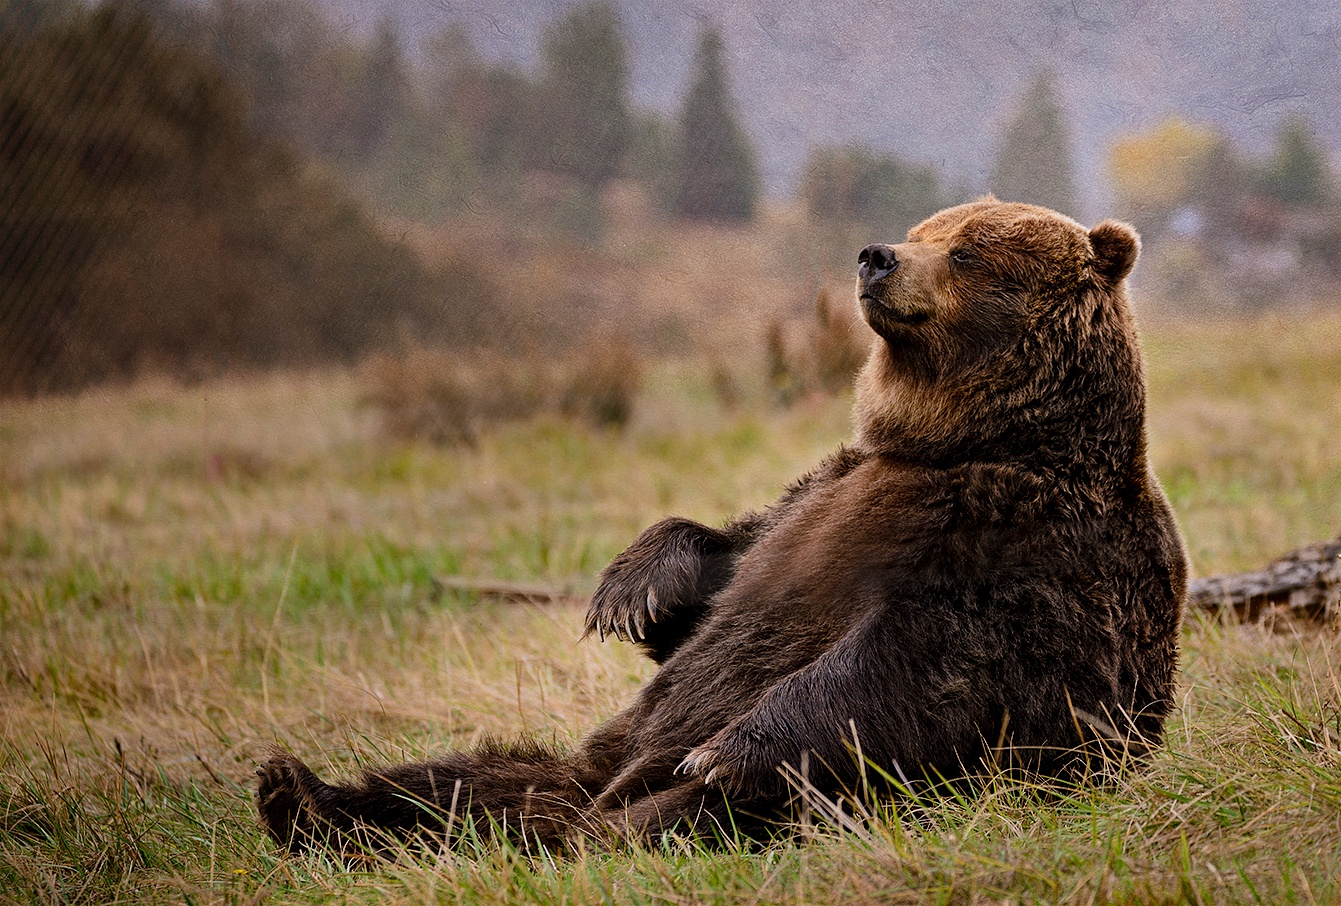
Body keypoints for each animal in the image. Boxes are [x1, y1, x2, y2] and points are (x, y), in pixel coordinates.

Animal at [256, 199, 1190, 857]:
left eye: (966, 249)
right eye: (924, 226)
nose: (876, 256)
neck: (973, 439)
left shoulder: (1028, 547)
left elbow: (931, 666)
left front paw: (731, 748)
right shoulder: (827, 489)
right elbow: (728, 568)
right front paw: (633, 588)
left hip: (811, 799)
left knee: (681, 814)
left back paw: (592, 838)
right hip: (573, 763)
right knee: (454, 780)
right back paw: (297, 793)